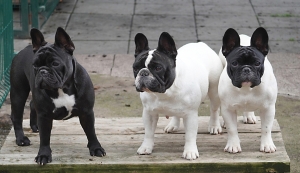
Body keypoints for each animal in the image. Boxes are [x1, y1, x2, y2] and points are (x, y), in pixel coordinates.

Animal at [9, 27, 106, 165]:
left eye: (55, 63)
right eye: (35, 65)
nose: (42, 71)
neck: (63, 88)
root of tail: (24, 49)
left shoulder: (86, 112)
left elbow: (91, 131)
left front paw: (96, 148)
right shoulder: (44, 116)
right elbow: (44, 138)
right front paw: (43, 155)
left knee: (32, 104)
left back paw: (34, 126)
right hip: (18, 92)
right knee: (16, 116)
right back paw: (21, 139)